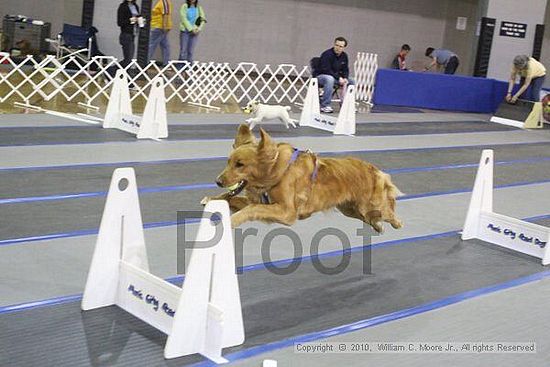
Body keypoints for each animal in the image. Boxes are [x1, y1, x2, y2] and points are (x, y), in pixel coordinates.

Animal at [204, 124, 406, 233]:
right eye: (228, 162)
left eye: (240, 164)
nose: (218, 181)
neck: (277, 171)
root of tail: (375, 170)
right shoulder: (266, 203)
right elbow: (234, 199)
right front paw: (212, 198)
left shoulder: (287, 212)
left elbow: (251, 208)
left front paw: (231, 221)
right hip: (350, 209)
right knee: (370, 218)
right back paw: (378, 226)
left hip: (370, 205)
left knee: (389, 212)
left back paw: (398, 224)